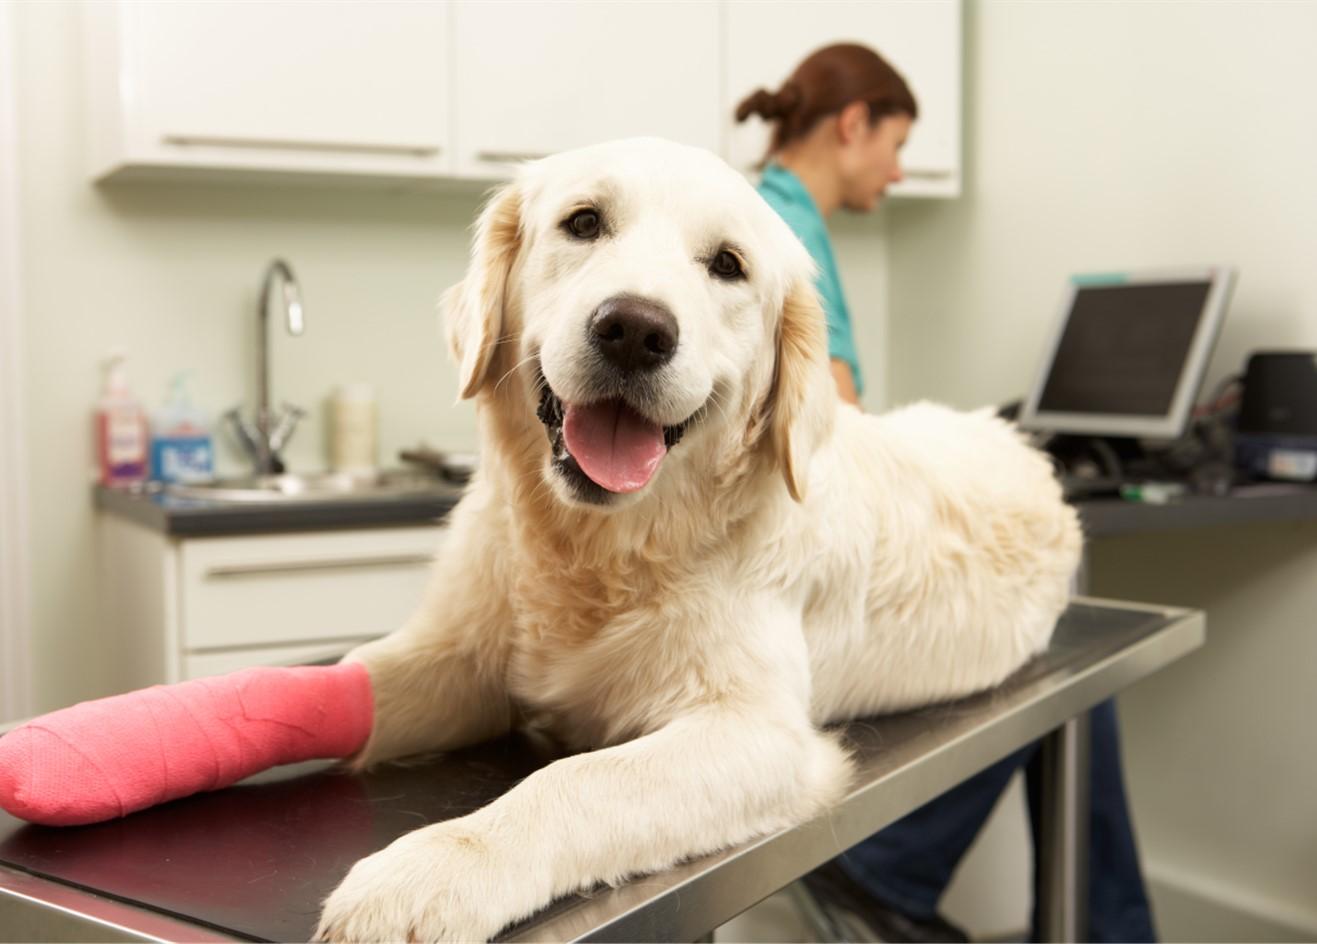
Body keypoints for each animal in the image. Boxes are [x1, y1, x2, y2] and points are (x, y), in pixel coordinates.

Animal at [316, 136, 1079, 937]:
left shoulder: (758, 733)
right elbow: (358, 679)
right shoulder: (460, 657)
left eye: (727, 265)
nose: (634, 329)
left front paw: (432, 870)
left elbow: (577, 779)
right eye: (583, 222)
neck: (600, 548)